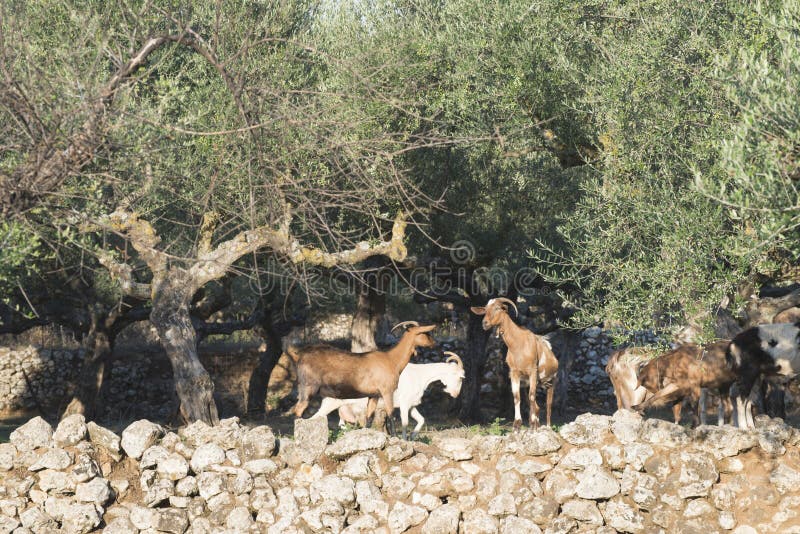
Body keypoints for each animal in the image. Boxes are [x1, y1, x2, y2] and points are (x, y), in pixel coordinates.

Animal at [286, 321, 437, 434]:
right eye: (425, 333)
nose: (434, 343)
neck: (392, 360)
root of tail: (299, 356)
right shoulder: (387, 391)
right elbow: (391, 415)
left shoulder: (374, 395)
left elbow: (369, 418)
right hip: (308, 388)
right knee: (298, 411)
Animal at [311, 352, 465, 440]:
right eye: (461, 377)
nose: (456, 394)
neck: (419, 375)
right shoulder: (404, 404)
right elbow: (404, 423)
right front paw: (404, 440)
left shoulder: (411, 405)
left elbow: (421, 420)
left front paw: (413, 436)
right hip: (331, 403)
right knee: (314, 418)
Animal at [471, 298, 559, 430]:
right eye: (485, 310)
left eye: (497, 308)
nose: (484, 323)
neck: (518, 343)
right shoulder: (514, 373)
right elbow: (517, 397)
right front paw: (517, 424)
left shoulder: (533, 371)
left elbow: (532, 396)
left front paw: (532, 423)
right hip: (531, 383)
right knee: (537, 406)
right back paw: (535, 425)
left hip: (551, 381)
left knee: (548, 405)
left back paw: (547, 426)